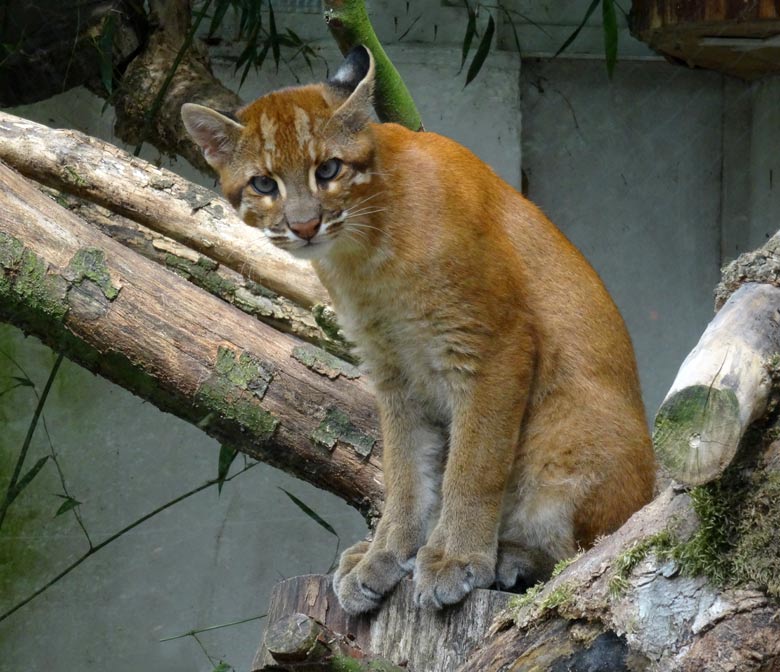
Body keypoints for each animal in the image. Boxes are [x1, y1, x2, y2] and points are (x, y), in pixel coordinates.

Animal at [181, 46, 652, 616]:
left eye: (328, 170)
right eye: (264, 184)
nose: (305, 225)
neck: (362, 252)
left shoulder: (492, 345)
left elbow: (474, 464)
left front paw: (456, 559)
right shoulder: (393, 369)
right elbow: (406, 472)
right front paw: (386, 553)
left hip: (570, 434)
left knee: (595, 546)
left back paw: (514, 555)